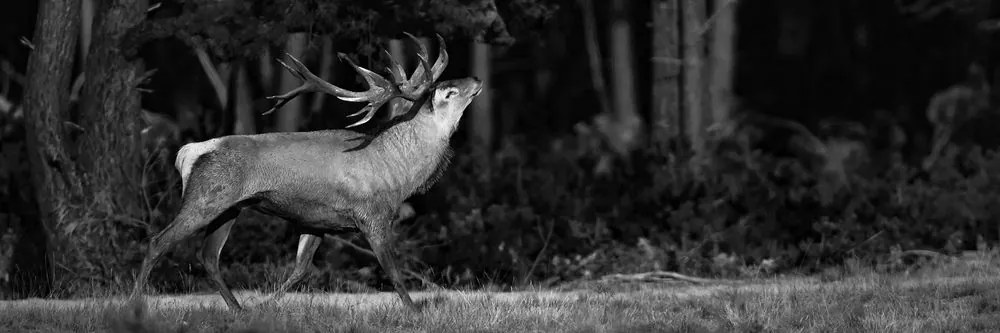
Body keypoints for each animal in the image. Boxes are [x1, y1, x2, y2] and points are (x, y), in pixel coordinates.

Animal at [128, 33, 480, 308]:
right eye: (449, 91)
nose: (476, 80)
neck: (399, 174)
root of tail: (189, 152)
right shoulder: (372, 215)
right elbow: (393, 271)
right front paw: (414, 311)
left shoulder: (318, 220)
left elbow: (300, 270)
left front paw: (265, 305)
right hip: (206, 196)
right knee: (158, 241)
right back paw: (135, 302)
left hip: (230, 207)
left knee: (208, 256)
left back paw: (239, 309)